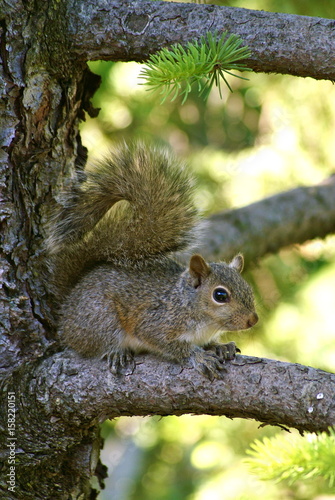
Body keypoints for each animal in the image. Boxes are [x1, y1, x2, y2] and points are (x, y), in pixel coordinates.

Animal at [47, 143, 258, 376]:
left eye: (248, 288)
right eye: (220, 295)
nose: (253, 320)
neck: (189, 306)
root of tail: (67, 310)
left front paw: (221, 347)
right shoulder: (156, 321)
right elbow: (169, 344)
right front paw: (198, 356)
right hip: (100, 319)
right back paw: (115, 352)